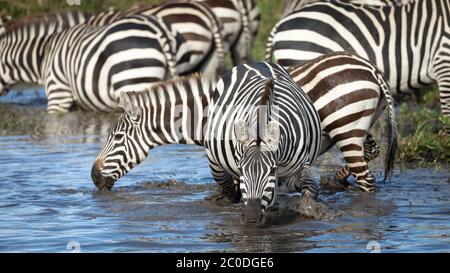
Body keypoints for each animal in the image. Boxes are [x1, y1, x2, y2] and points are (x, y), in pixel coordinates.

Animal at [204, 62, 324, 223]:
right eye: (241, 169)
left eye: (272, 170)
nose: (251, 216)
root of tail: (255, 62)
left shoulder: (300, 166)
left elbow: (311, 188)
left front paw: (309, 209)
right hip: (214, 161)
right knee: (228, 188)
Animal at [288, 51, 398, 191]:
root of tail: (373, 69)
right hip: (360, 122)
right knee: (372, 150)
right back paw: (336, 181)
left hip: (346, 128)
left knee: (365, 178)